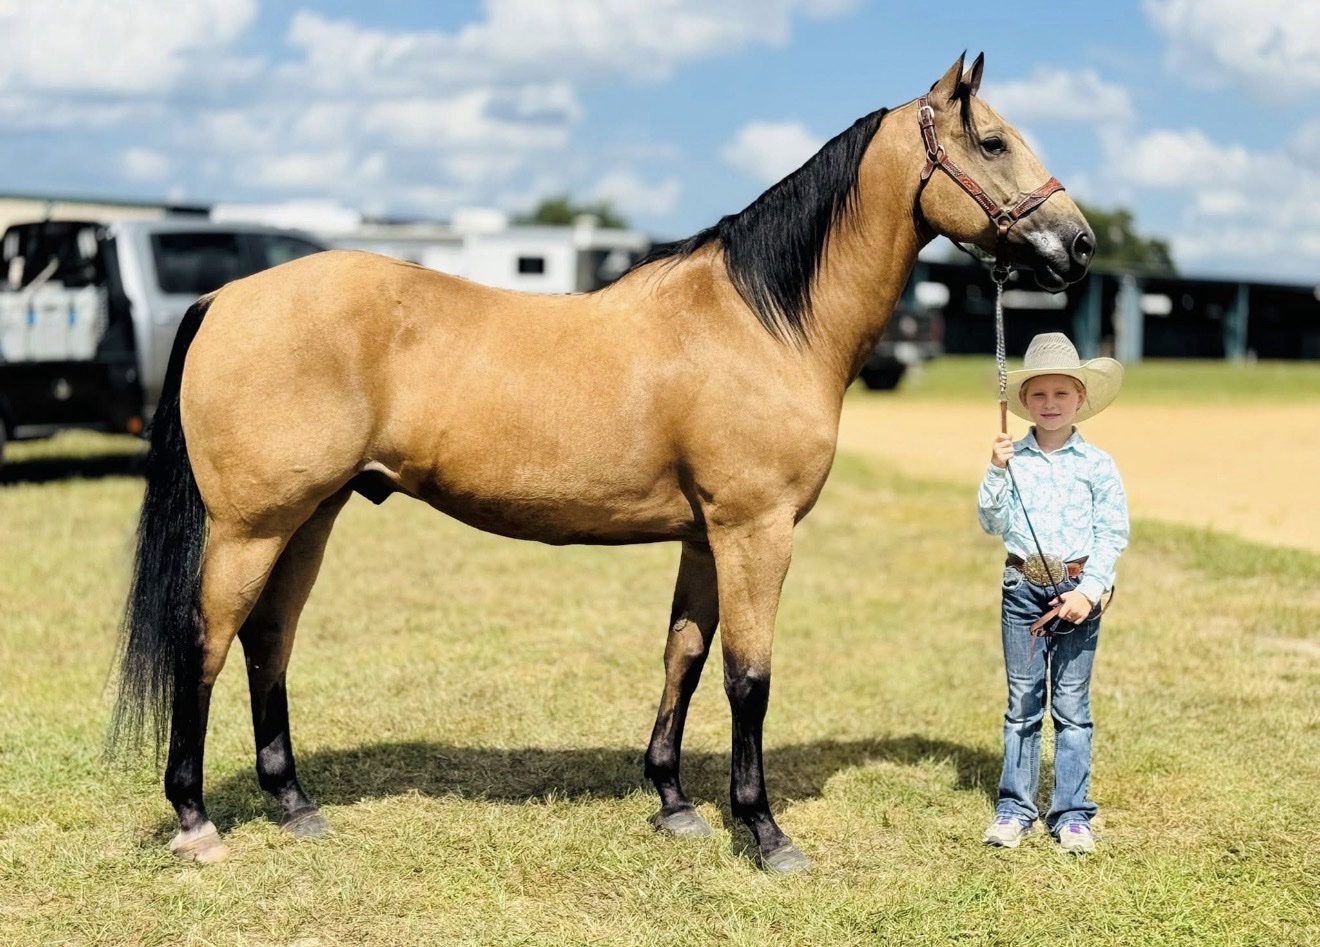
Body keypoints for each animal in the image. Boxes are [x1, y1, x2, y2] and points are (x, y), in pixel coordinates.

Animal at [111, 53, 1094, 872]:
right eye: (994, 141)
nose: (1079, 243)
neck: (761, 322)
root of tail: (227, 296)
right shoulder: (756, 531)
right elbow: (749, 677)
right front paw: (764, 832)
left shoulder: (705, 538)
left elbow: (683, 656)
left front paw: (673, 801)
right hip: (252, 525)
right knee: (205, 641)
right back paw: (196, 822)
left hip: (311, 515)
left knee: (268, 639)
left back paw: (294, 803)